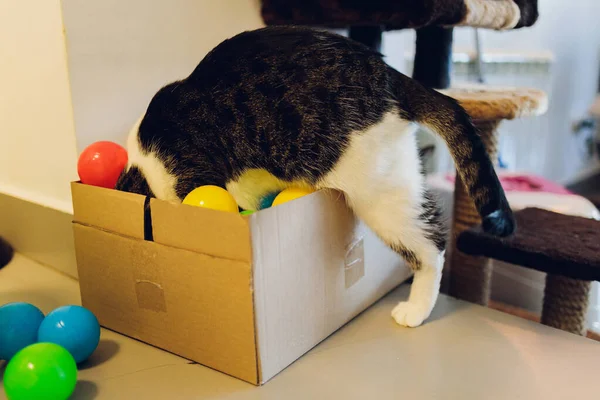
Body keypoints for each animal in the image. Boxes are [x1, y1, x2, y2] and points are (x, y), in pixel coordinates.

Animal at [117, 25, 516, 328]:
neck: (145, 165)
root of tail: (388, 73)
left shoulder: (221, 184)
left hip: (376, 191)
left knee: (432, 246)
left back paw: (416, 310)